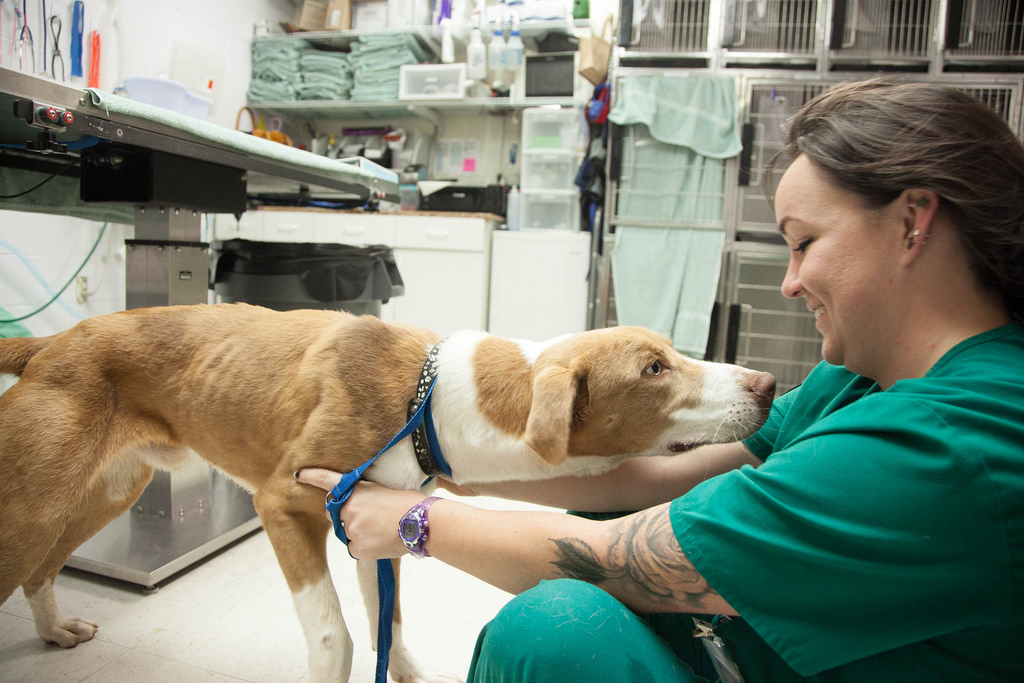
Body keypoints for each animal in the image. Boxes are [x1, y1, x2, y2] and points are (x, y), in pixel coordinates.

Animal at [0, 305, 770, 683]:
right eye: (653, 368)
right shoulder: (283, 506)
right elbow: (337, 637)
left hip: (107, 491)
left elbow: (388, 631)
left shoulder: (374, 525)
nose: (767, 384)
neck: (423, 399)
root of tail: (53, 342)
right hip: (33, 506)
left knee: (43, 570)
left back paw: (53, 630)